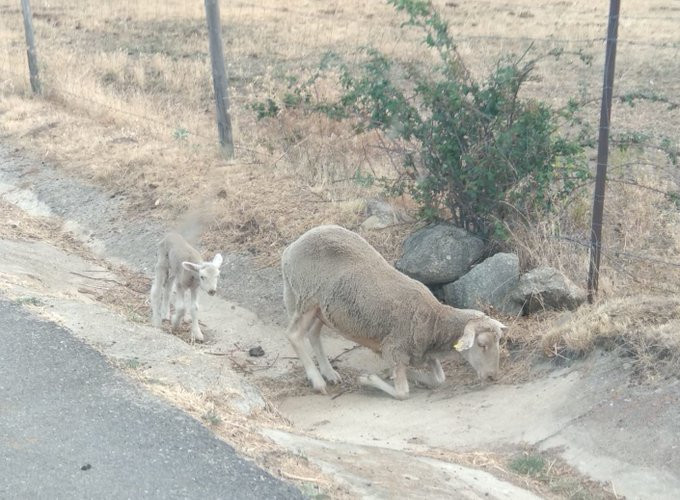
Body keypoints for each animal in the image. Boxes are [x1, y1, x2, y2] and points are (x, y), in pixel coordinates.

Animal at [278, 225, 508, 400]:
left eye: (499, 342)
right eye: (482, 344)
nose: (493, 376)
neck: (434, 321)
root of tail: (291, 248)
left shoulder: (422, 353)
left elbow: (439, 379)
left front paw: (414, 375)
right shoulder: (393, 348)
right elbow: (402, 393)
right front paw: (368, 379)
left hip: (324, 309)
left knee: (313, 333)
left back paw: (329, 373)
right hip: (306, 297)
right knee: (294, 334)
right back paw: (317, 381)